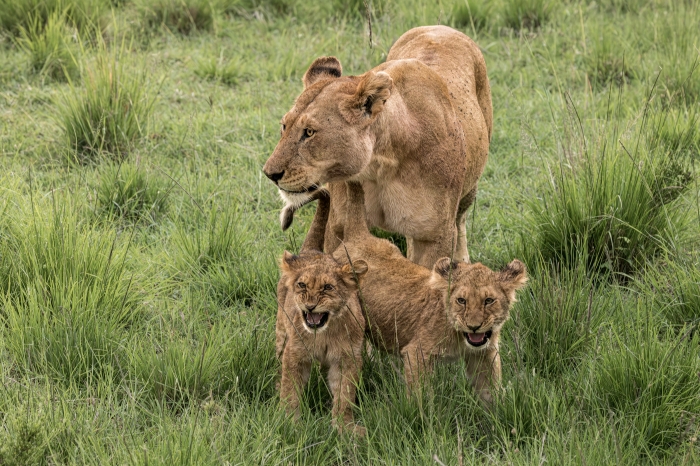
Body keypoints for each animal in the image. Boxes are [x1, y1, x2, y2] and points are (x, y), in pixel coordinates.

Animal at [263, 25, 492, 268]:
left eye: (309, 132)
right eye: (284, 126)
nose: (270, 174)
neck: (380, 166)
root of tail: (439, 27)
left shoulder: (435, 236)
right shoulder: (338, 228)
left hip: (469, 189)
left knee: (461, 218)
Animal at [275, 190, 369, 435]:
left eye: (328, 287)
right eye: (302, 285)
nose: (310, 307)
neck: (324, 333)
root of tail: (310, 251)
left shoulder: (347, 358)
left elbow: (345, 394)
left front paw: (344, 427)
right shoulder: (295, 354)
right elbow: (290, 391)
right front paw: (290, 423)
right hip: (281, 327)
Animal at [332, 182, 527, 403]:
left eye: (489, 300)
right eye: (461, 300)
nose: (474, 326)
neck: (459, 336)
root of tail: (358, 235)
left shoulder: (483, 355)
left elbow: (491, 394)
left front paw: (500, 411)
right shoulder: (416, 353)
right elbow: (421, 397)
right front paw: (421, 412)